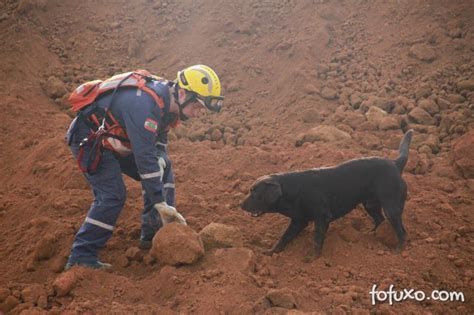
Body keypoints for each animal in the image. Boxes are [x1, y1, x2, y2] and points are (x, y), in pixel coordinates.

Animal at [241, 131, 412, 256]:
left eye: (254, 193)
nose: (240, 205)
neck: (293, 190)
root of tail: (395, 164)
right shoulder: (298, 221)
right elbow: (284, 238)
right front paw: (271, 252)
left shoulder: (322, 217)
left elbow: (317, 240)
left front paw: (312, 259)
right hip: (371, 205)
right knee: (380, 220)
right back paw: (372, 234)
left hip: (392, 207)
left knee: (402, 232)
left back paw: (399, 251)